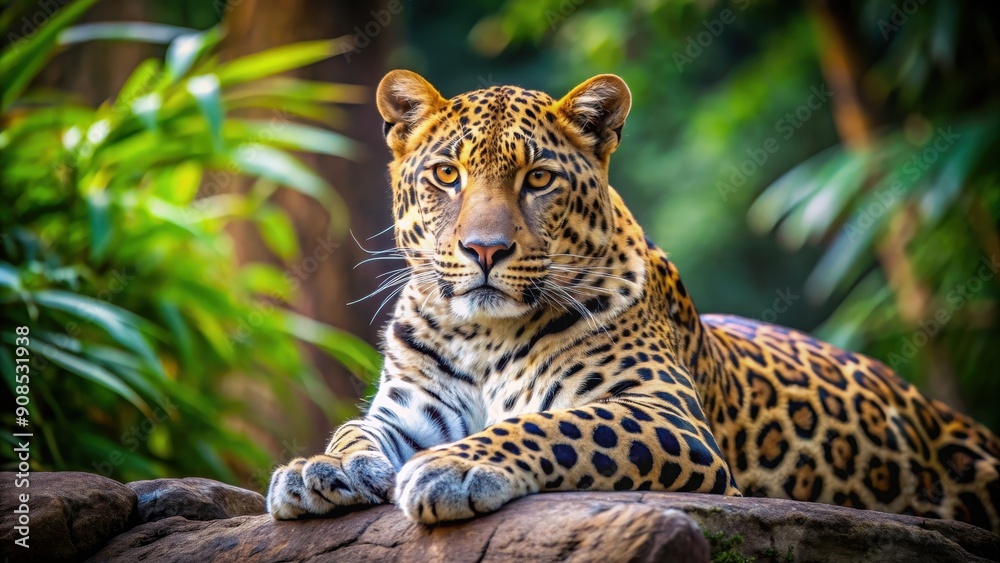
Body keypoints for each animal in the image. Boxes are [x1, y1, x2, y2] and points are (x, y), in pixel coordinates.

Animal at [267, 69, 1000, 533]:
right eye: (447, 175)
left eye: (538, 179)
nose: (484, 250)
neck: (481, 336)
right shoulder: (410, 410)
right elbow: (356, 429)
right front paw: (316, 468)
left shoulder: (668, 416)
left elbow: (555, 425)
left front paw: (455, 465)